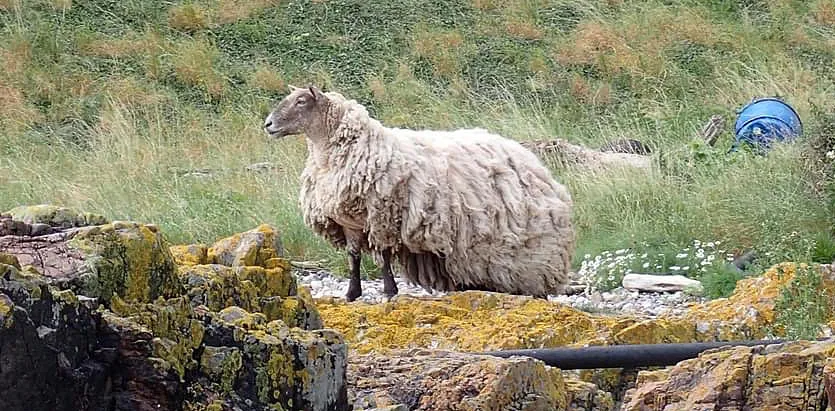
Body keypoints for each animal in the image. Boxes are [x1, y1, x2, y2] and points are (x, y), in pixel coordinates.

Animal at [264, 84, 580, 302]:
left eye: (301, 101)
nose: (268, 124)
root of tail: (537, 165)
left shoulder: (382, 215)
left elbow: (383, 257)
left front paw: (389, 291)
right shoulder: (349, 221)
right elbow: (354, 258)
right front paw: (352, 293)